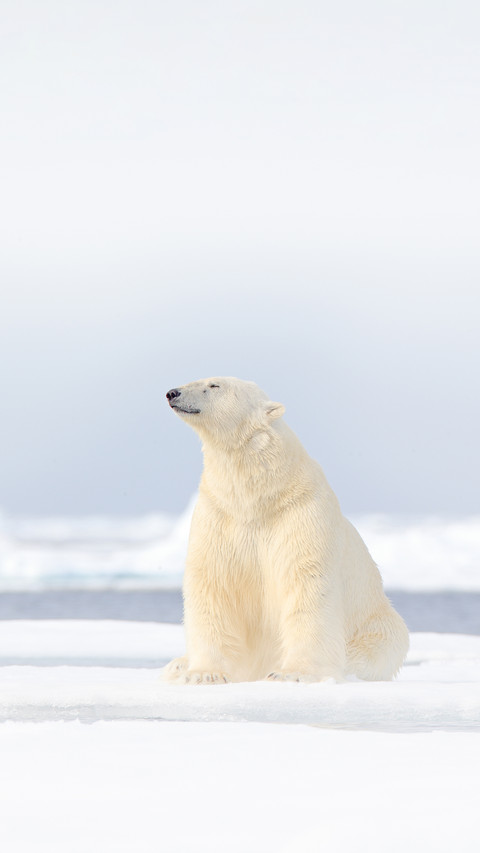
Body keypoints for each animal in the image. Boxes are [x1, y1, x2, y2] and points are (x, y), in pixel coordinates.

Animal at [162, 376, 409, 684]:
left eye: (215, 385)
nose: (172, 393)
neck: (257, 497)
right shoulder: (219, 514)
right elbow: (212, 582)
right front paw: (202, 674)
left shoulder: (300, 513)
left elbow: (306, 583)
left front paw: (292, 673)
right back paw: (177, 664)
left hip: (376, 622)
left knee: (380, 645)